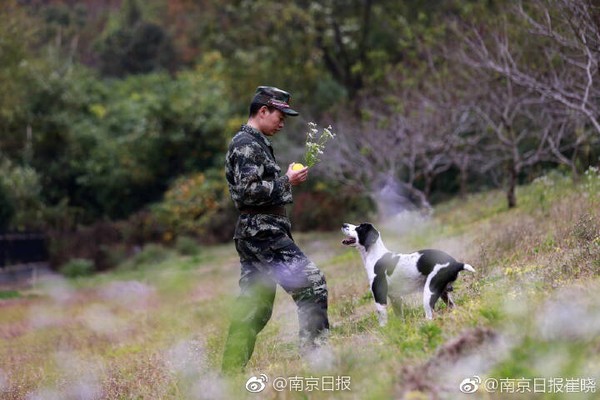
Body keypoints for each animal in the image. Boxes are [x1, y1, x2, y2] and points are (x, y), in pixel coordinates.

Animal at [342, 222, 474, 324]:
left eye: (359, 228)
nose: (344, 225)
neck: (376, 256)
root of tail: (455, 263)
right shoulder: (395, 298)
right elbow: (400, 318)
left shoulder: (380, 298)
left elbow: (383, 322)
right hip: (443, 294)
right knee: (452, 307)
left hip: (429, 295)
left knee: (430, 317)